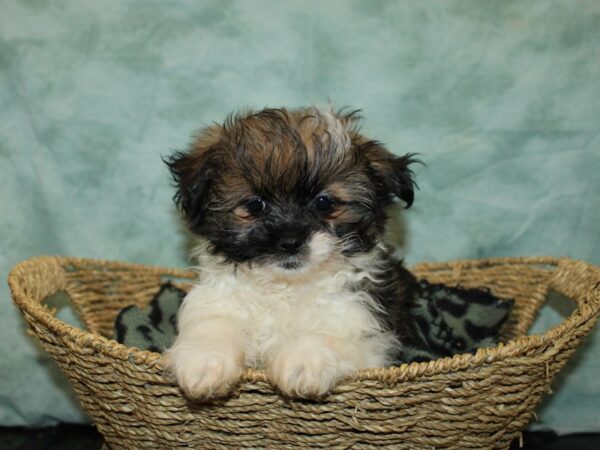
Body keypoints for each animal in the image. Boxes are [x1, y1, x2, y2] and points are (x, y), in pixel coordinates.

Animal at [162, 107, 420, 400]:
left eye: (324, 203)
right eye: (255, 205)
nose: (290, 242)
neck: (286, 287)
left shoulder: (367, 328)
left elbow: (329, 336)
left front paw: (303, 362)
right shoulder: (219, 298)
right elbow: (215, 321)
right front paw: (204, 362)